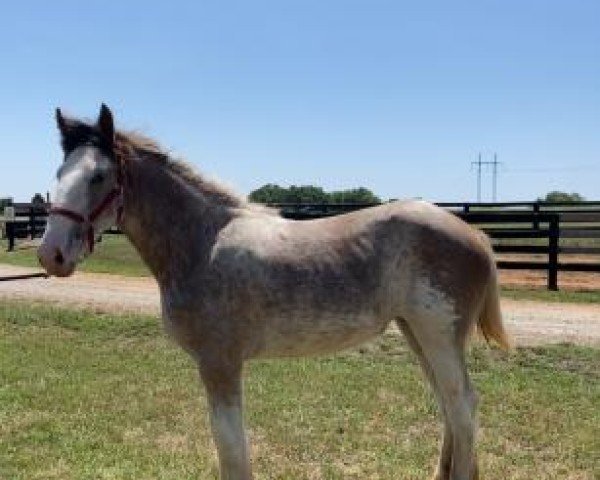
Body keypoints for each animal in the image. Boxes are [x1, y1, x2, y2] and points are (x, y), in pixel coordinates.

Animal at [37, 105, 508, 480]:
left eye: (99, 176)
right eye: (58, 174)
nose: (50, 254)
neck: (202, 242)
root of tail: (475, 234)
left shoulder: (220, 363)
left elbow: (230, 448)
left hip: (438, 335)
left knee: (463, 407)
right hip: (417, 333)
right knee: (450, 407)